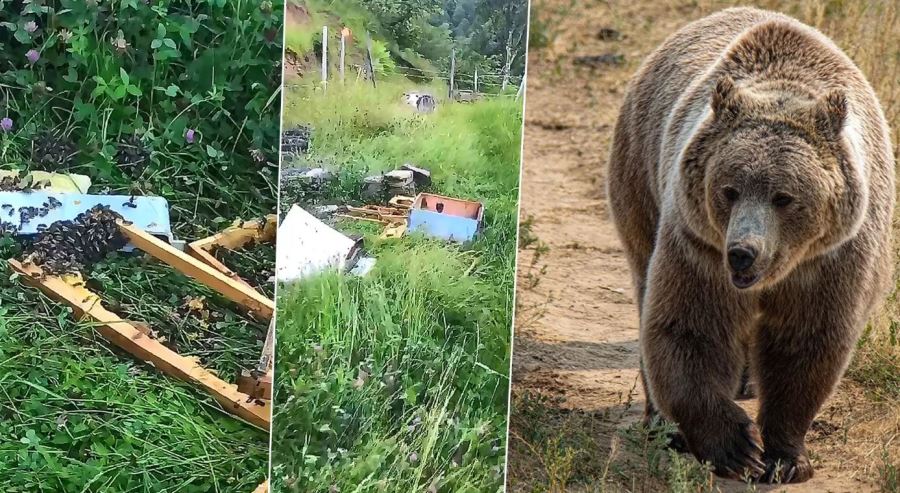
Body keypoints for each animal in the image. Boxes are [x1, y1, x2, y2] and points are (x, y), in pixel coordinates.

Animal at [604, 6, 892, 484]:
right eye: (729, 189)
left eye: (784, 197)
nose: (742, 252)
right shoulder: (698, 245)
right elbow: (690, 327)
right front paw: (736, 447)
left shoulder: (833, 259)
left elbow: (806, 343)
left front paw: (785, 457)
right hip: (640, 177)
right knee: (645, 284)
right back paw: (663, 424)